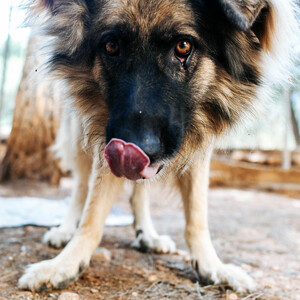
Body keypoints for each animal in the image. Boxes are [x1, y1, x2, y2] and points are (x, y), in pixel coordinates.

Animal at [19, 0, 298, 294]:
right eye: (111, 46)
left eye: (183, 47)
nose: (133, 150)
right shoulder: (104, 137)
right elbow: (92, 214)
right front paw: (65, 264)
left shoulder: (197, 147)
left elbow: (196, 215)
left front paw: (211, 265)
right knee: (81, 187)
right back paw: (65, 230)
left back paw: (147, 234)